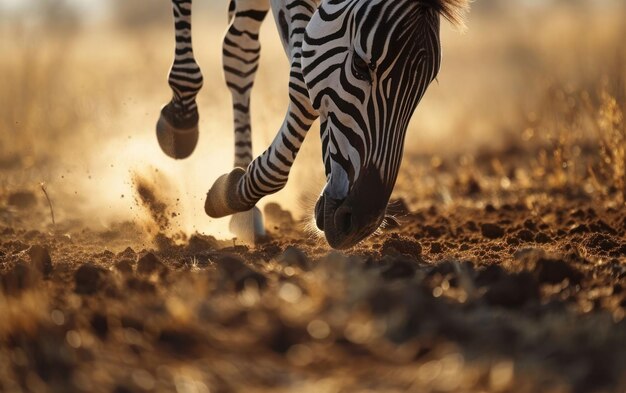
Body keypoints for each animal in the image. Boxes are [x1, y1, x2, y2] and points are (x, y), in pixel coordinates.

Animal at [156, 0, 468, 248]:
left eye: (425, 86)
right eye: (359, 65)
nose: (361, 225)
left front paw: (236, 193)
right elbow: (300, 80)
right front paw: (233, 191)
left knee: (239, 51)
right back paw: (181, 118)